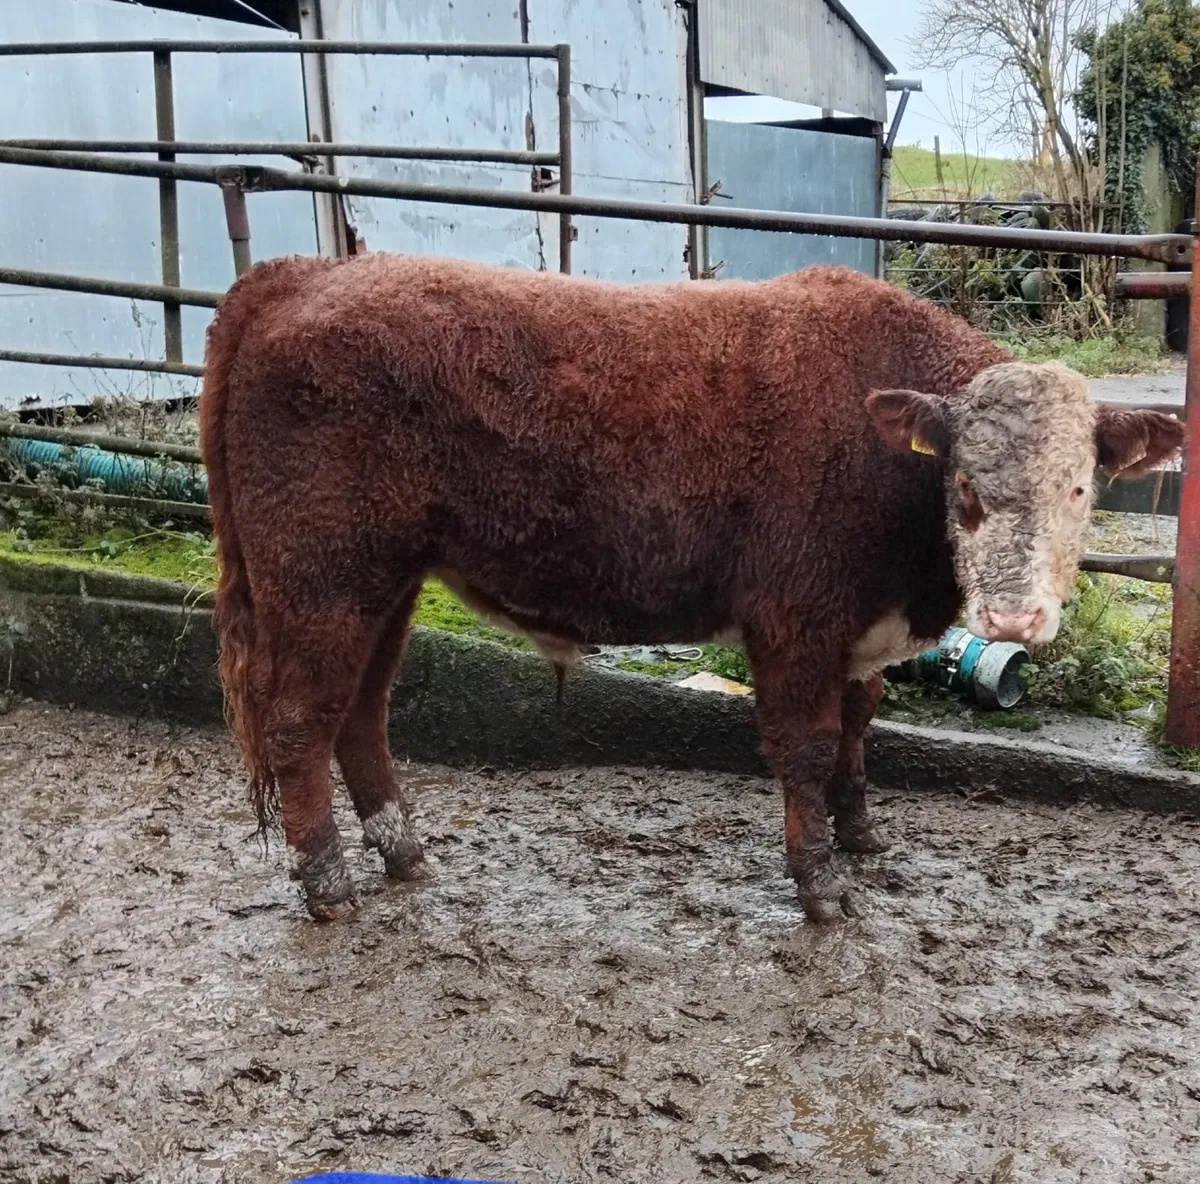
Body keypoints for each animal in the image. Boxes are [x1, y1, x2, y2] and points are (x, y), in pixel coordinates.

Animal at [198, 256, 1183, 922]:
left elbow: (859, 728)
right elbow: (807, 747)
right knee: (298, 723)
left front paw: (860, 834)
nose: (1015, 614)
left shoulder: (859, 634)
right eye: (968, 489)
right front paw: (821, 880)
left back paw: (403, 853)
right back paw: (329, 883)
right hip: (320, 577)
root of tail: (300, 274)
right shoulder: (796, 618)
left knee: (361, 714)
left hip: (387, 581)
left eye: (1081, 488)